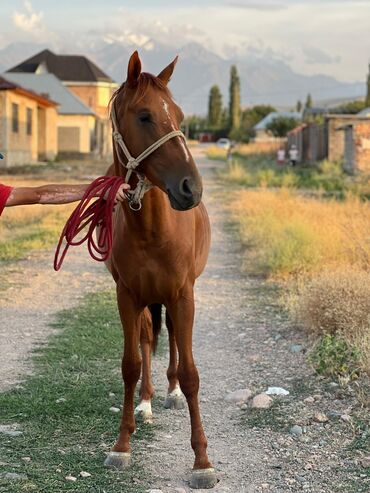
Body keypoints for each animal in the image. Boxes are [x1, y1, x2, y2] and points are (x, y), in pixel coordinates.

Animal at [102, 51, 215, 488]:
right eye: (145, 116)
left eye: (180, 116)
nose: (190, 188)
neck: (151, 229)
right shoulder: (127, 296)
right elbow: (130, 365)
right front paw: (121, 445)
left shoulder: (183, 295)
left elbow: (191, 373)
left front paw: (202, 462)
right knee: (150, 338)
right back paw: (149, 402)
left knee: (172, 342)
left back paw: (169, 393)